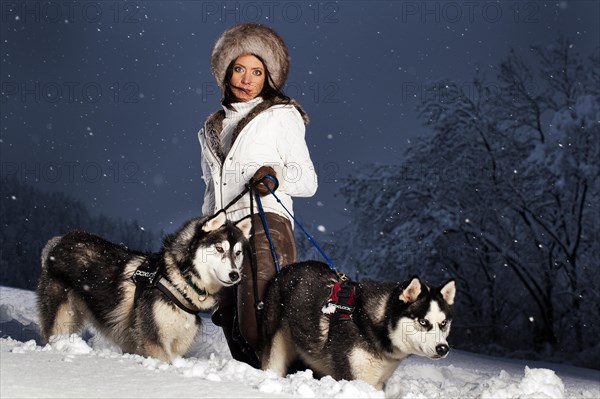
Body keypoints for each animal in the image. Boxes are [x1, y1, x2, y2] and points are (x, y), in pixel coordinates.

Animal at [35, 212, 251, 362]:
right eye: (219, 248)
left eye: (238, 253)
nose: (235, 275)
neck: (178, 281)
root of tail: (60, 240)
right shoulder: (153, 341)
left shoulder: (178, 344)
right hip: (61, 319)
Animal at [260, 262, 458, 390]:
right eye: (423, 321)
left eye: (443, 323)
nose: (443, 348)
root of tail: (286, 268)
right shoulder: (355, 377)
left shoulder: (377, 382)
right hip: (276, 346)